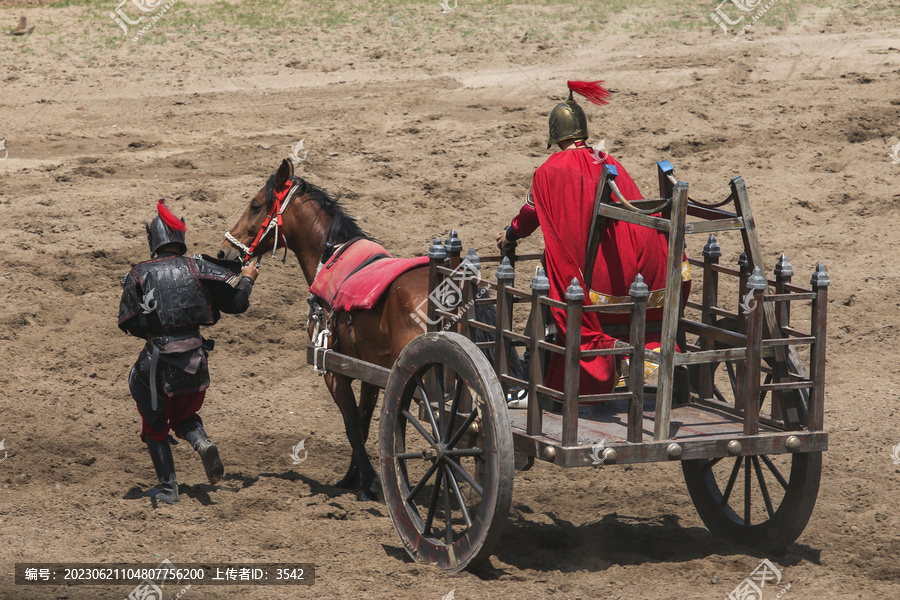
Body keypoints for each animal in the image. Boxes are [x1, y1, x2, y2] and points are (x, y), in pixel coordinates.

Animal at [218, 157, 428, 500]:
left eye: (255, 205)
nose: (224, 251)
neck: (331, 258)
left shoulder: (333, 369)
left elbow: (353, 426)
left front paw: (369, 482)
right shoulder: (367, 371)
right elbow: (363, 422)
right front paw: (354, 478)